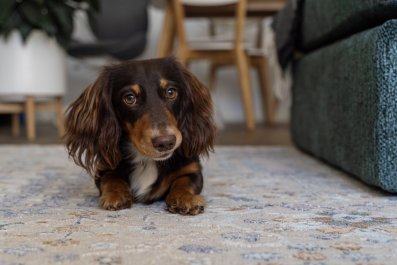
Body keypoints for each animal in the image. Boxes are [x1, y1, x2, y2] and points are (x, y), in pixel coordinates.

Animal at [63, 56, 215, 213]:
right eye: (129, 98)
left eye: (171, 92)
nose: (166, 142)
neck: (146, 159)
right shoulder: (104, 168)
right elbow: (111, 179)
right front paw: (116, 195)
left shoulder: (192, 169)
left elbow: (184, 182)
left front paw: (185, 199)